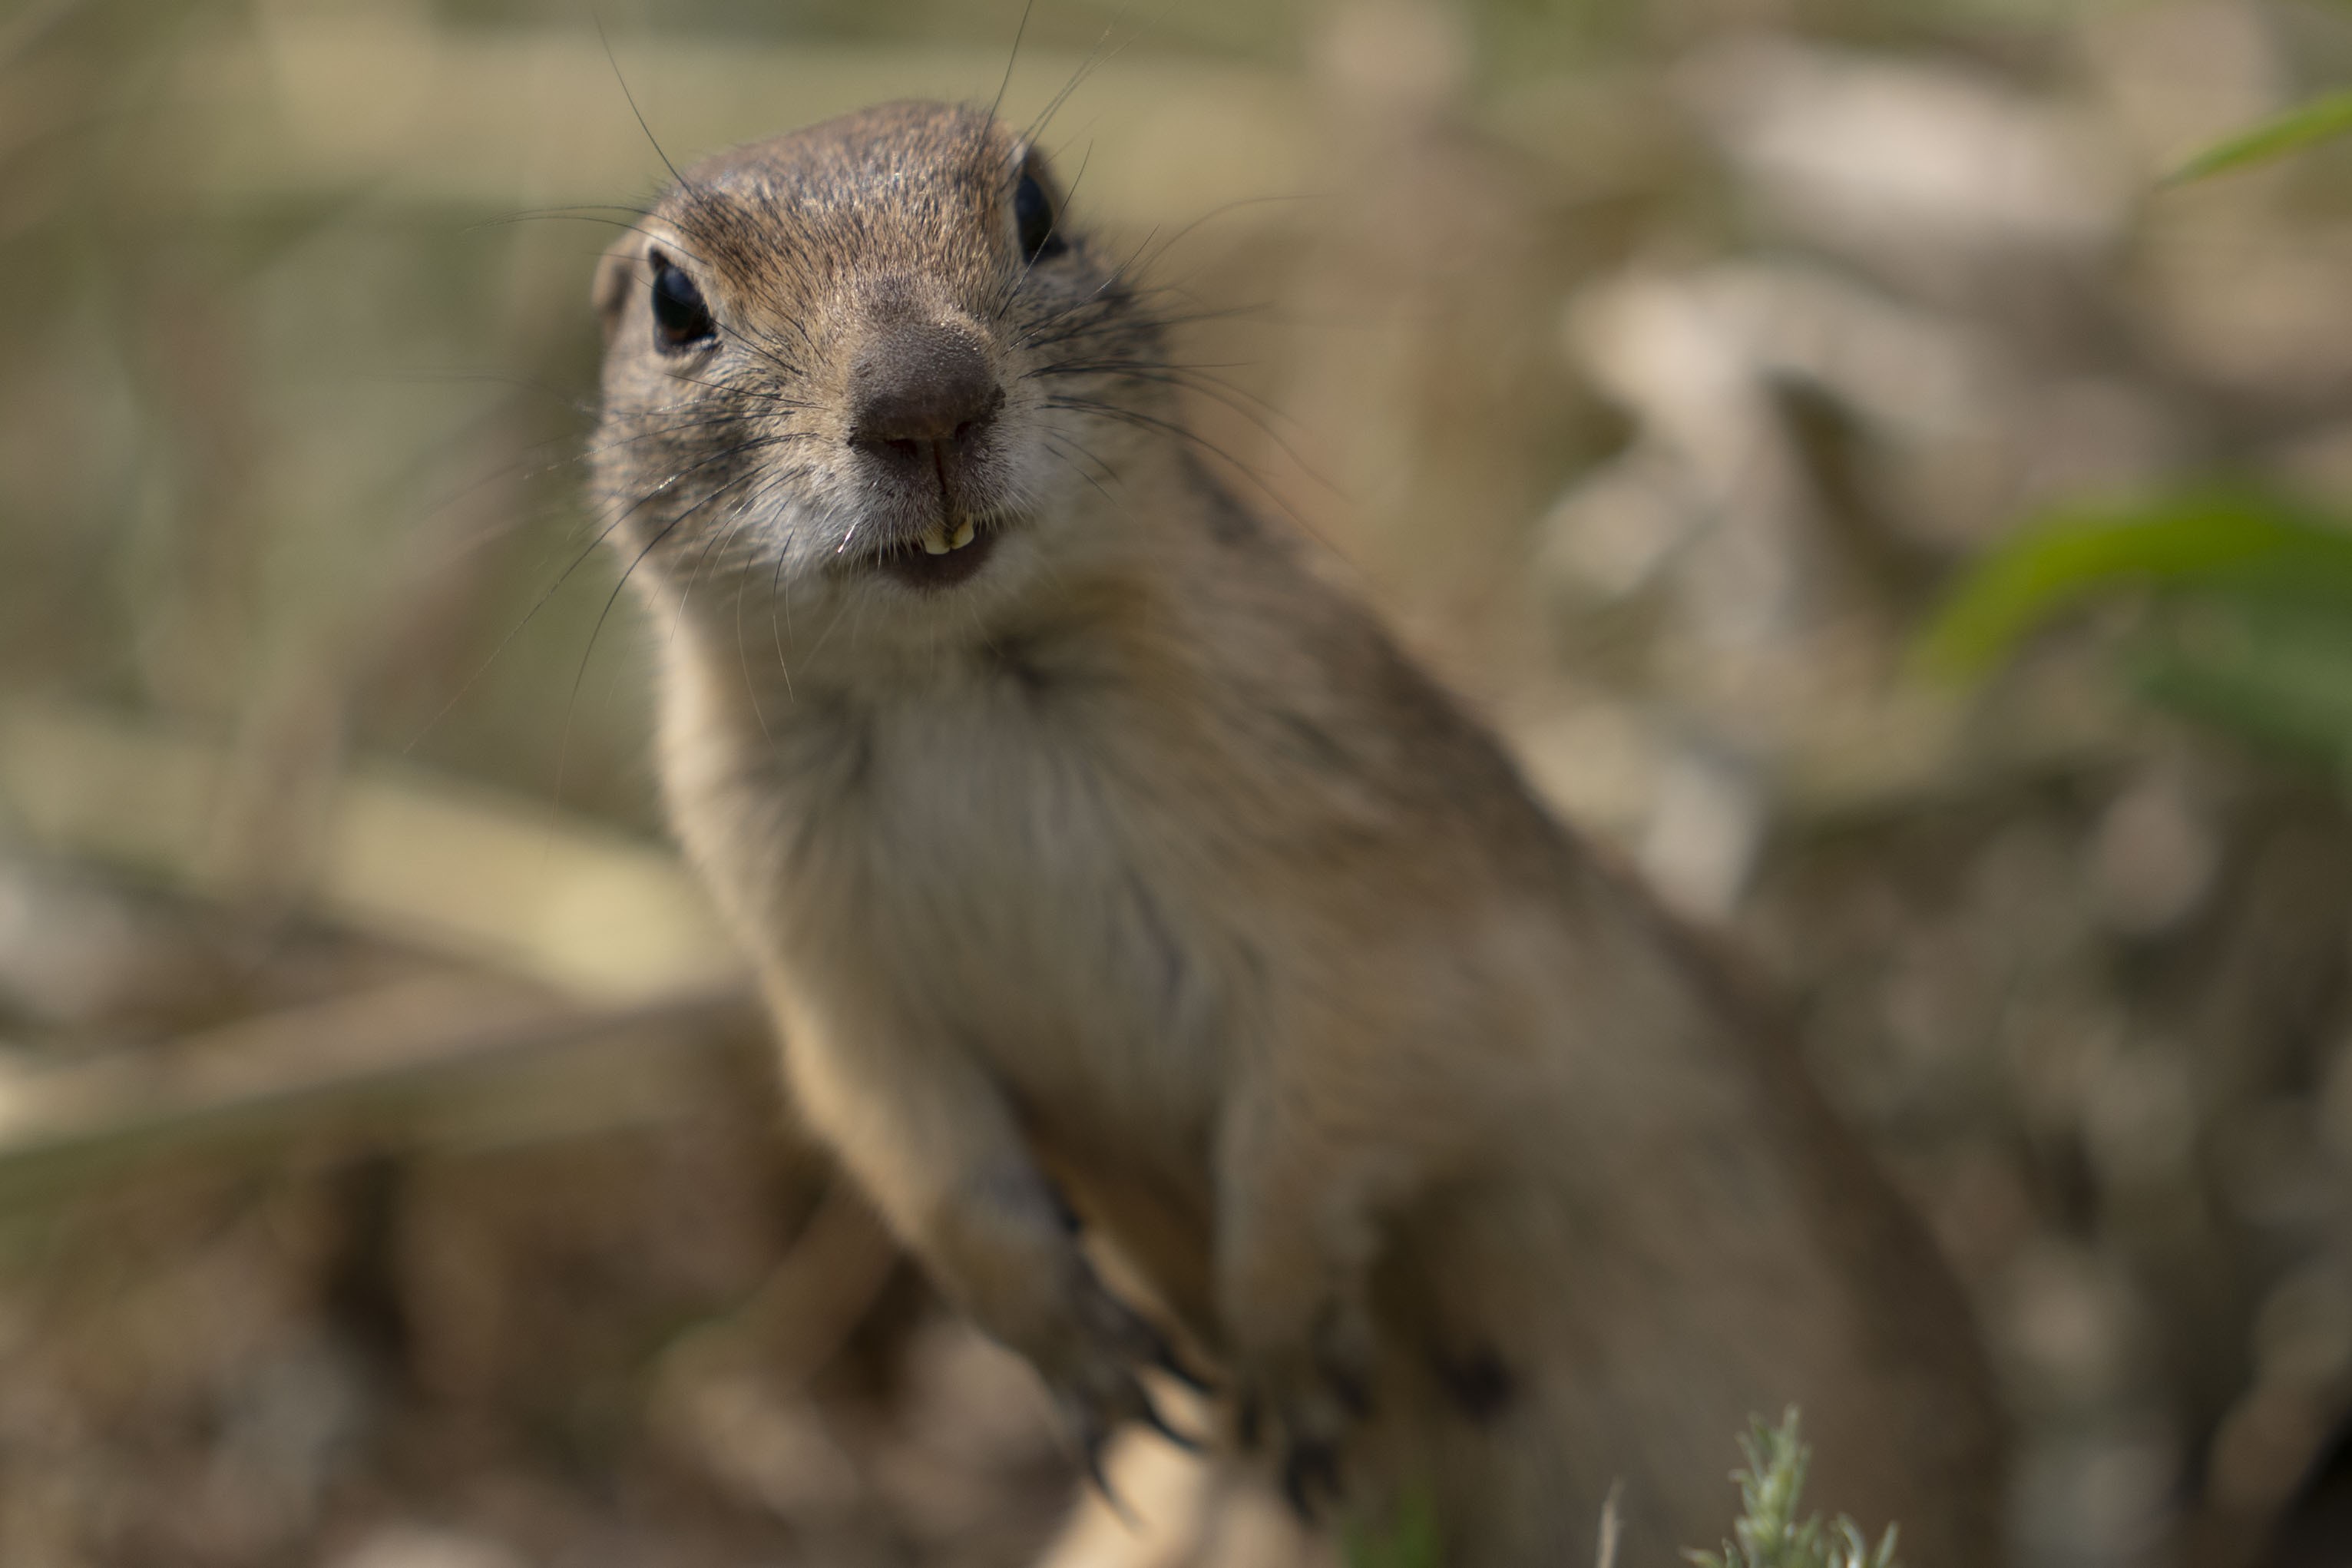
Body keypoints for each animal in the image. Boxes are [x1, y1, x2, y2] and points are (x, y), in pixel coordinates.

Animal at [587, 99, 2006, 1566]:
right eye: (673, 301)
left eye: (1038, 209)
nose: (924, 396)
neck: (950, 676)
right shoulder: (822, 956)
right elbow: (906, 1136)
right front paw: (1087, 1360)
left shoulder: (1363, 864)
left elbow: (1342, 1082)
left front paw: (1276, 1334)